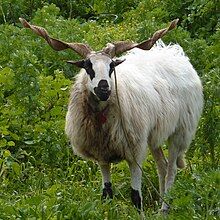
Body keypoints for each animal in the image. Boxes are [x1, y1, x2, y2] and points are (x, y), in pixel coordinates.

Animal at [20, 18, 203, 212]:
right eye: (87, 66)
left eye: (112, 66)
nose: (104, 88)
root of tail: (173, 54)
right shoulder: (102, 155)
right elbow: (106, 194)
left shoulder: (135, 153)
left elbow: (136, 197)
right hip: (154, 135)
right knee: (162, 166)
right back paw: (161, 206)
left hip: (180, 132)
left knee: (171, 170)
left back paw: (164, 209)